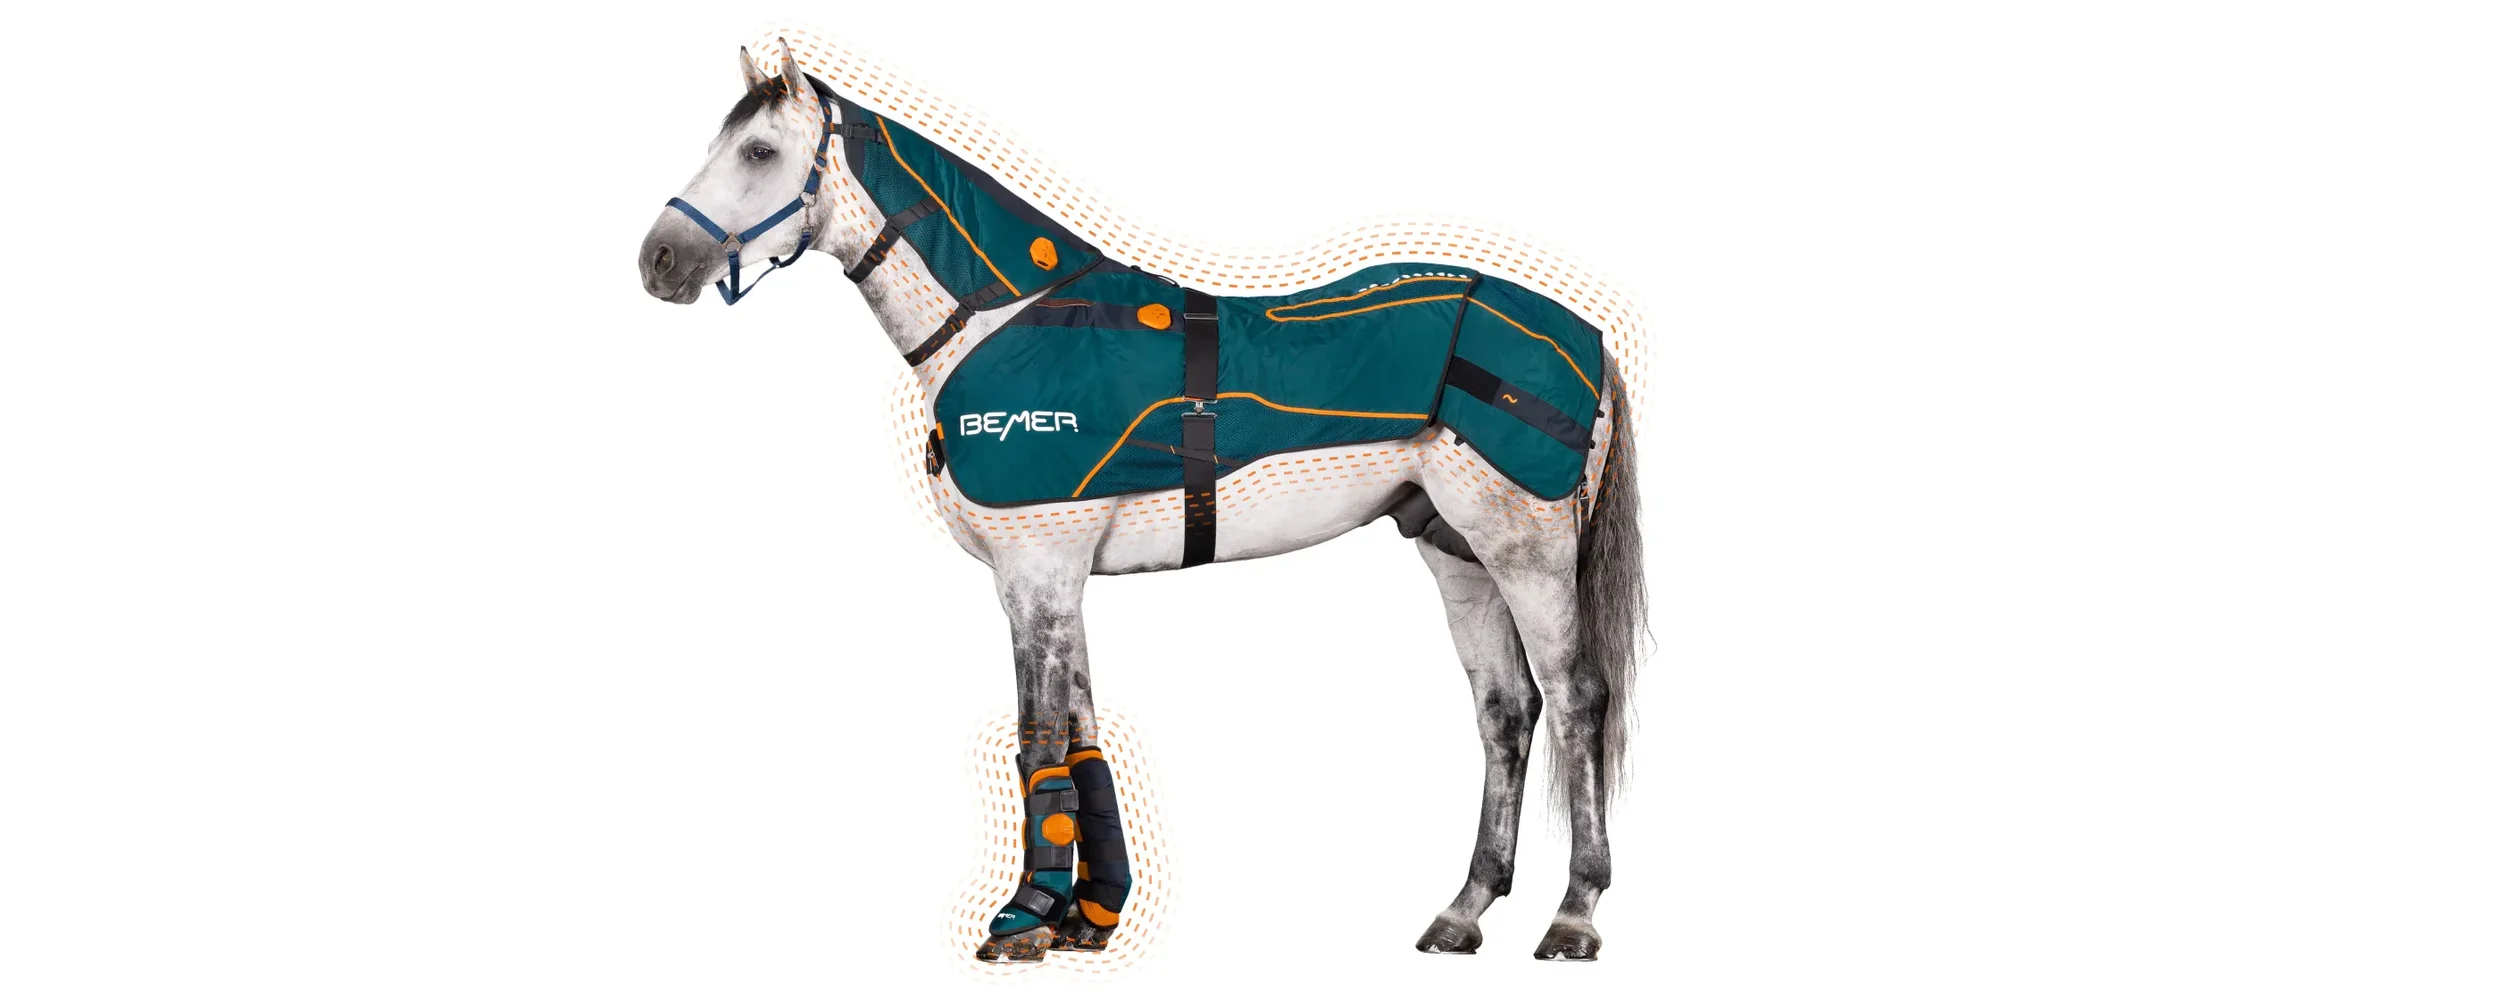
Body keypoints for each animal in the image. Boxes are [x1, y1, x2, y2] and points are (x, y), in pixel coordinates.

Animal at [635, 41, 1647, 963]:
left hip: (1526, 549)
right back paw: (1464, 910)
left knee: (1577, 697)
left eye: (759, 150)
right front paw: (1087, 918)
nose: (660, 259)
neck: (1009, 318)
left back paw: (1574, 916)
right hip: (1455, 550)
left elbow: (1039, 741)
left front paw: (1021, 920)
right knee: (1506, 710)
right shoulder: (1051, 581)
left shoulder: (1038, 572)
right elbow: (1082, 742)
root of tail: (1585, 335)